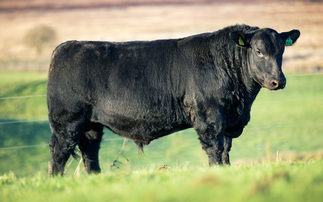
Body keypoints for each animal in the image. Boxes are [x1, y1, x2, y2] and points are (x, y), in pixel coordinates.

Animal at [46, 24, 300, 175]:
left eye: (281, 51)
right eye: (258, 51)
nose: (278, 81)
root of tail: (67, 46)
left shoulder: (230, 119)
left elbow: (226, 148)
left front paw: (226, 170)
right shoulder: (210, 115)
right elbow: (214, 147)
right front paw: (216, 171)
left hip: (91, 125)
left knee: (90, 151)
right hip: (66, 122)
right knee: (59, 151)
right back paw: (58, 180)